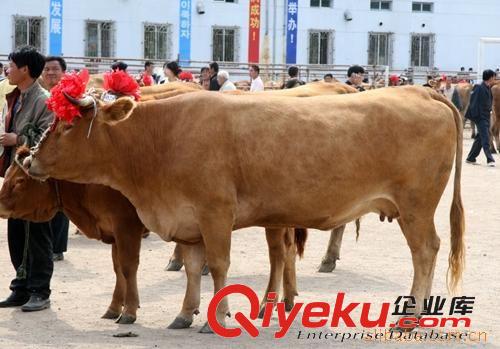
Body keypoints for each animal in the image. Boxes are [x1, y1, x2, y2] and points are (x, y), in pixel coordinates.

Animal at [27, 87, 464, 332]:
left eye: (67, 126)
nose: (29, 159)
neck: (160, 138)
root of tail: (419, 91)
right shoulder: (189, 220)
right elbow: (192, 268)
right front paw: (185, 314)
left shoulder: (215, 213)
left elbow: (219, 266)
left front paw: (217, 318)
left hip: (416, 208)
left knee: (425, 252)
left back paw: (411, 316)